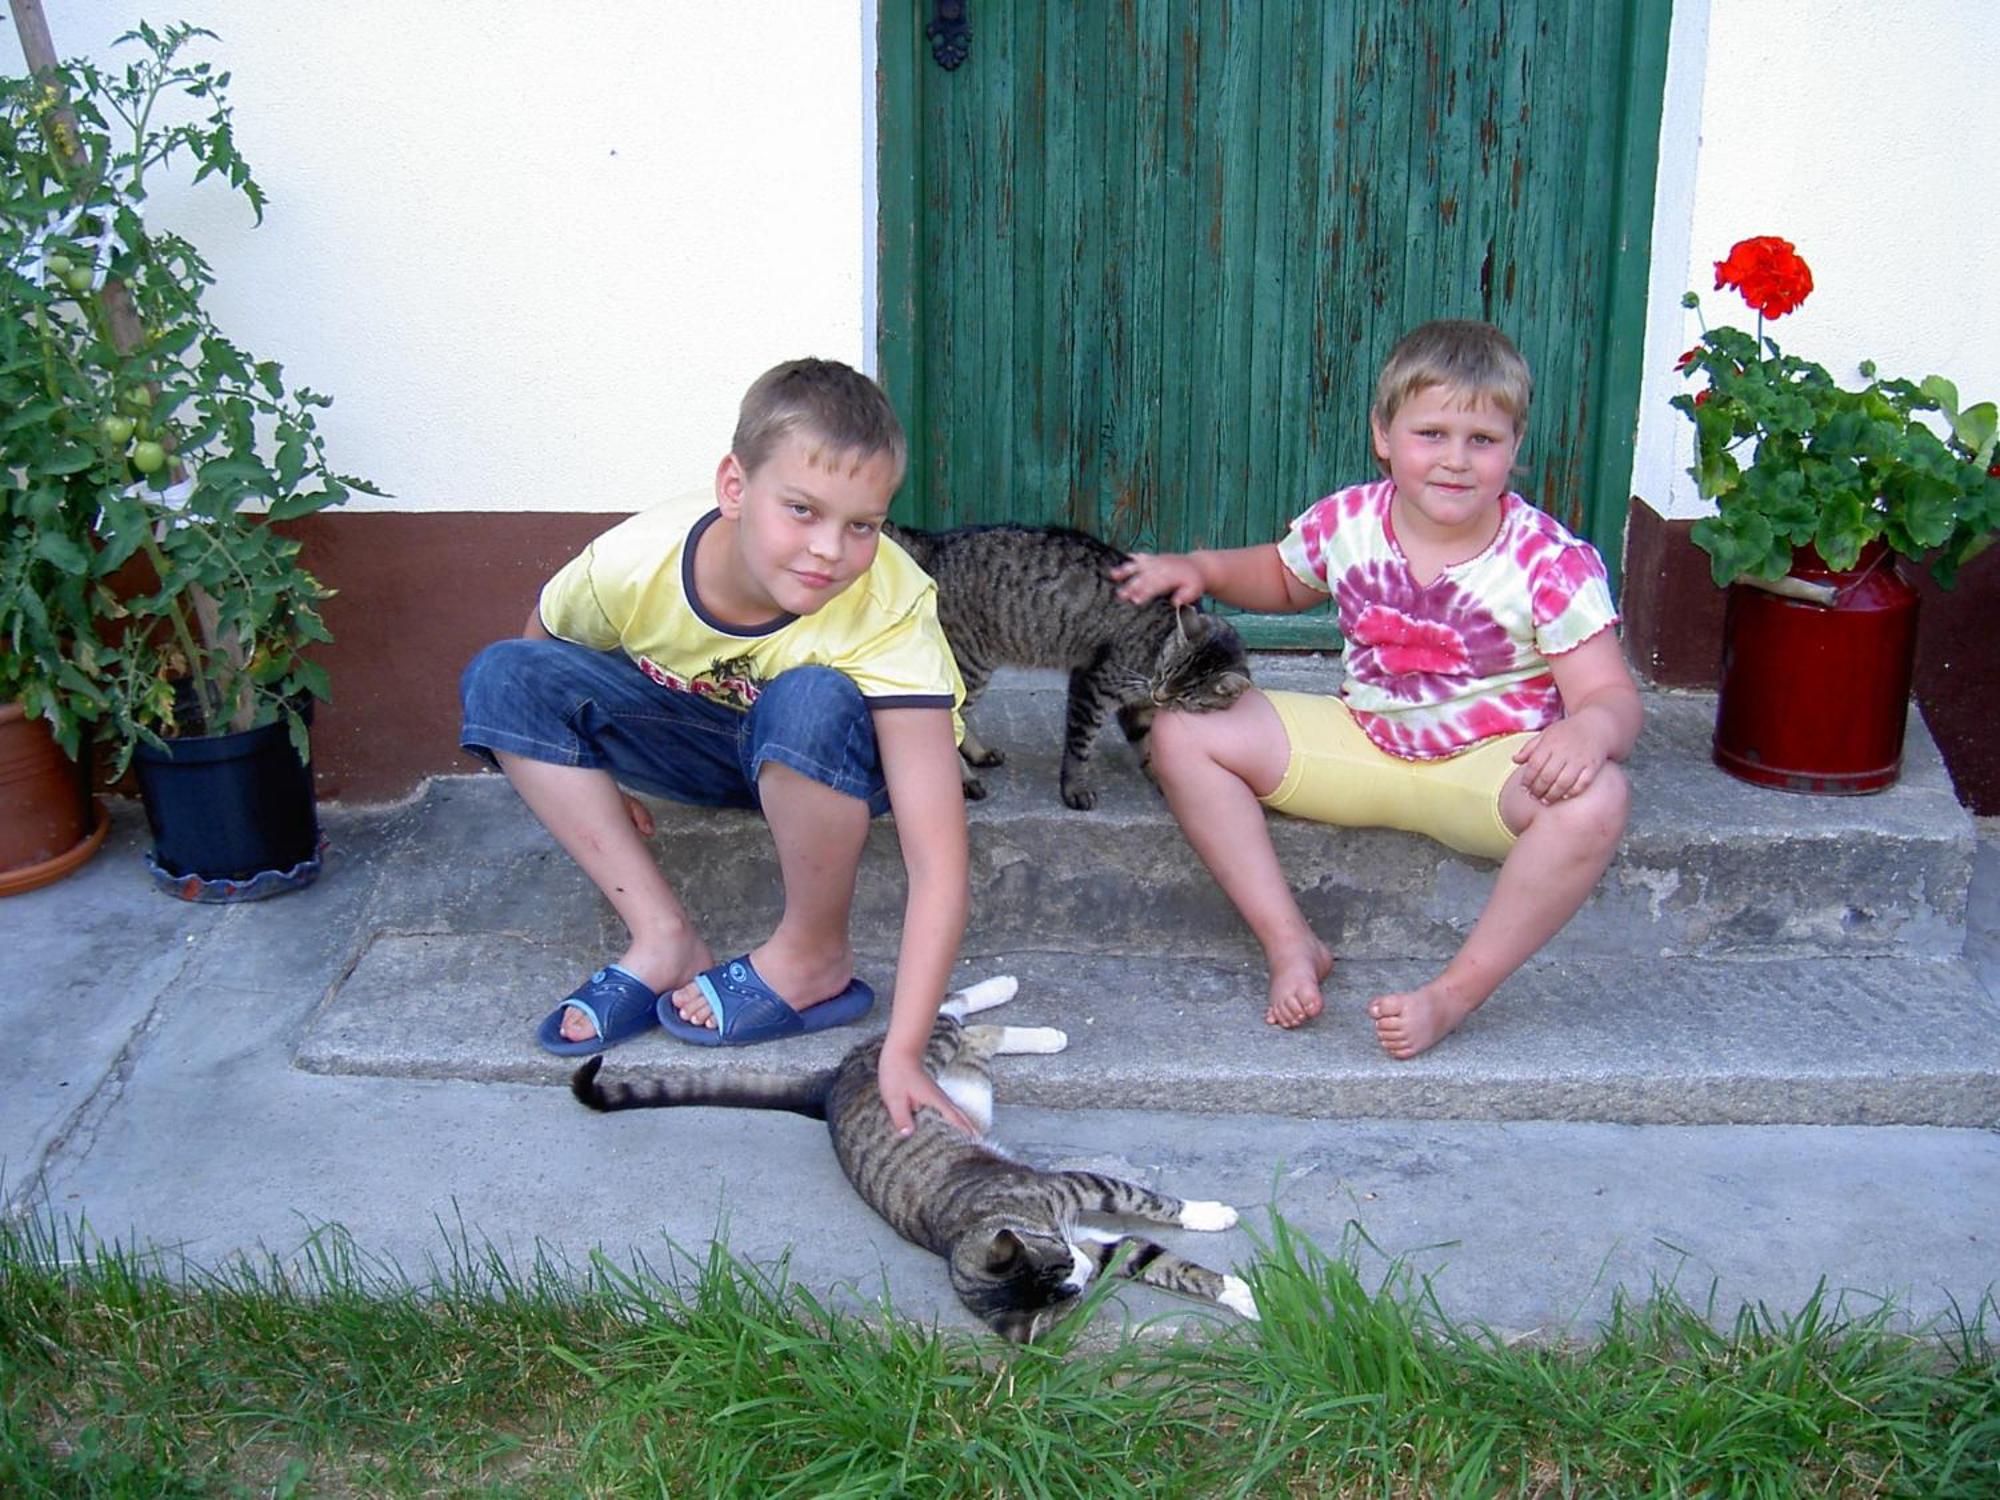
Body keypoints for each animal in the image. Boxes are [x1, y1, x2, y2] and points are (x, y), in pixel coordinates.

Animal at [572, 980, 1256, 1344]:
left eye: (1063, 1265)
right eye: (1068, 1282)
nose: (1079, 1268)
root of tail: (828, 1083)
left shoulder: (1074, 1189)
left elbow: (1148, 1202)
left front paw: (1214, 1228)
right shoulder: (1087, 1231)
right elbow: (1156, 1259)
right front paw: (1241, 1290)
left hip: (925, 1058)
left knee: (946, 1009)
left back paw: (1006, 993)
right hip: (969, 1086)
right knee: (977, 1035)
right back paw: (1036, 1030)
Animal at [888, 524, 1248, 812]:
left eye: (1186, 695)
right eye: (1166, 670)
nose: (1159, 694)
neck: (1155, 646)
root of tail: (932, 543)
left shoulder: (1138, 709)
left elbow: (1148, 747)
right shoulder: (1093, 684)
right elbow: (1080, 745)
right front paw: (1074, 788)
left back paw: (979, 753)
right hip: (968, 664)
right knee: (945, 726)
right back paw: (964, 780)